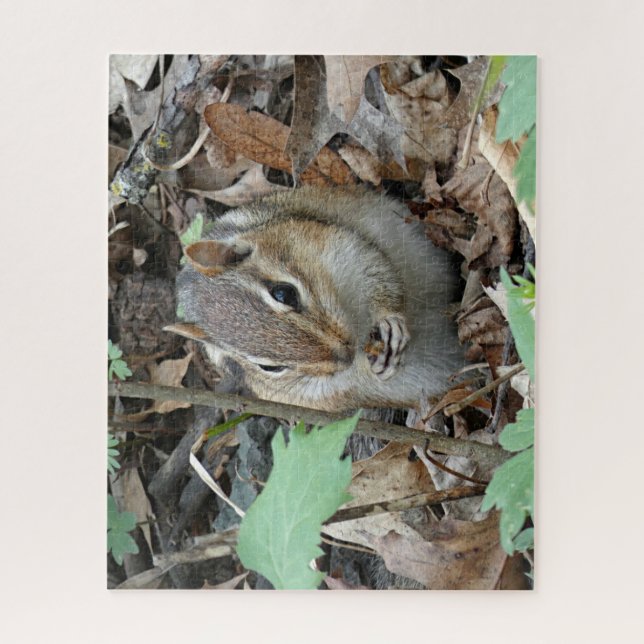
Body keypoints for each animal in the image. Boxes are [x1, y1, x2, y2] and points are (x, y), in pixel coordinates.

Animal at [167, 186, 464, 413]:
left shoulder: (343, 248)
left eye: (284, 293)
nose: (345, 356)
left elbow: (381, 278)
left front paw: (390, 323)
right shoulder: (321, 393)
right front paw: (371, 367)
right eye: (270, 368)